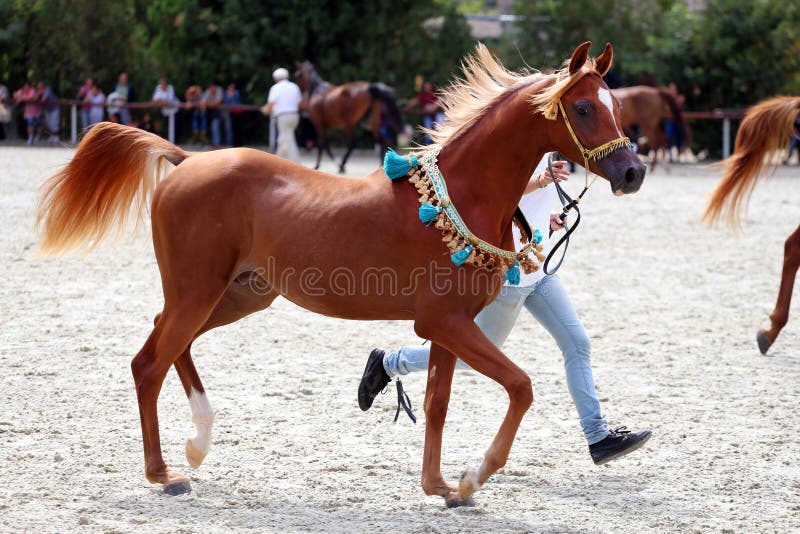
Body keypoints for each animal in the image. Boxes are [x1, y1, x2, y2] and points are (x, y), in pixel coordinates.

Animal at [37, 42, 648, 506]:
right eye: (584, 108)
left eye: (615, 105)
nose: (633, 172)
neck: (462, 195)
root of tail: (186, 159)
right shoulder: (445, 323)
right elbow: (520, 387)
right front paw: (473, 476)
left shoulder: (447, 329)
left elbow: (437, 404)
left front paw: (440, 486)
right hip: (200, 292)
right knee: (149, 363)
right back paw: (166, 474)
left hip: (235, 296)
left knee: (168, 344)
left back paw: (197, 443)